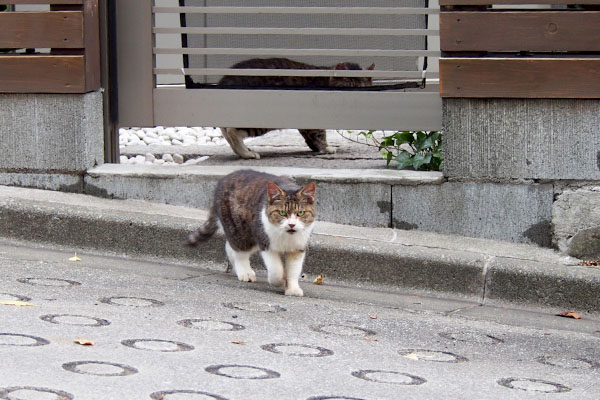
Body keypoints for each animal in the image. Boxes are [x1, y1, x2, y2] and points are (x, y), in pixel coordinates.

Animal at [186, 170, 318, 296]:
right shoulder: (265, 242)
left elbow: (294, 270)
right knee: (239, 251)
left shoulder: (298, 248)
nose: (291, 224)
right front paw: (279, 280)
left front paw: (293, 289)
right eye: (282, 213)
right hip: (242, 231)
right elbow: (275, 270)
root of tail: (223, 180)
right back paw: (245, 272)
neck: (287, 238)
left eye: (300, 213)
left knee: (229, 246)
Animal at [217, 57, 376, 159]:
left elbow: (311, 137)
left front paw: (316, 148)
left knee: (226, 130)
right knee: (231, 131)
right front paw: (326, 148)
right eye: (349, 87)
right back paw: (247, 154)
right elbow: (320, 135)